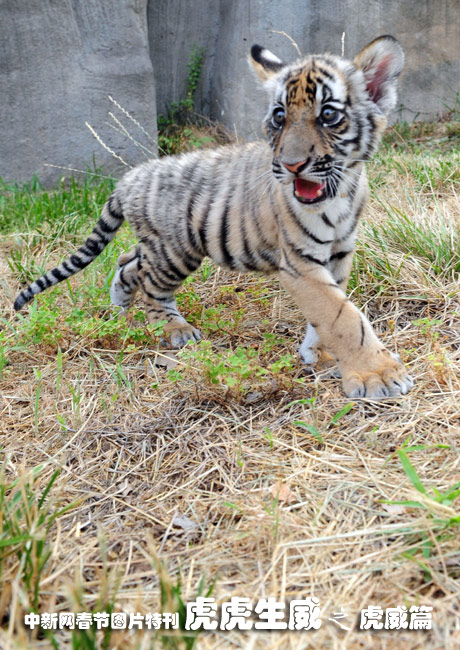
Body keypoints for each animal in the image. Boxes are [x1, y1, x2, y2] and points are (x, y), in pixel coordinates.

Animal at [13, 35, 413, 400]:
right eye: (279, 117)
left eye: (328, 115)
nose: (291, 165)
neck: (340, 192)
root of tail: (131, 176)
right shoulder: (300, 262)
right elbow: (341, 316)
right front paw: (378, 375)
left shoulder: (339, 252)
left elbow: (334, 310)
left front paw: (320, 353)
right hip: (175, 251)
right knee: (149, 284)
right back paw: (174, 329)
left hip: (158, 247)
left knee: (128, 261)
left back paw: (120, 307)